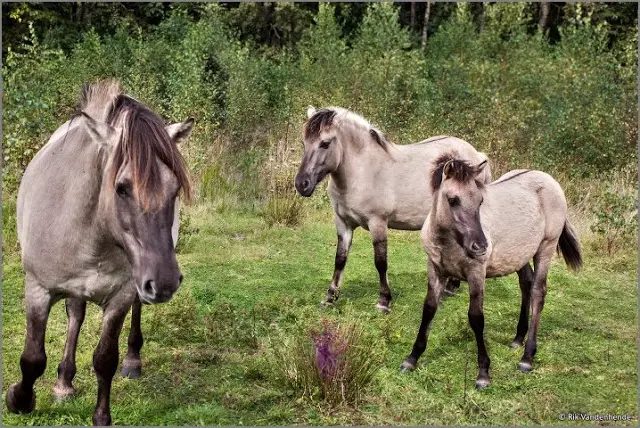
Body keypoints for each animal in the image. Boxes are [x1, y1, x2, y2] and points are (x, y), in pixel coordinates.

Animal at [6, 80, 192, 424]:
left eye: (175, 189)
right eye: (121, 187)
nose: (165, 282)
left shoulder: (121, 295)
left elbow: (105, 359)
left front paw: (102, 417)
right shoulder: (37, 289)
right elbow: (33, 357)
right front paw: (19, 399)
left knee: (135, 311)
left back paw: (132, 360)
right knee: (75, 315)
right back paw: (64, 381)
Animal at [296, 106, 490, 310]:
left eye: (325, 143)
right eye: (304, 142)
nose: (302, 184)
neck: (364, 172)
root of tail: (478, 156)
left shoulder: (378, 223)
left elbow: (381, 262)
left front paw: (384, 300)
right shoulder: (343, 223)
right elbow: (340, 259)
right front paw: (330, 297)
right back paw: (451, 287)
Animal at [402, 157, 584, 388]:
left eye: (480, 201)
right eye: (453, 200)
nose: (480, 246)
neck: (449, 242)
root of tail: (549, 180)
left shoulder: (476, 274)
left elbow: (476, 318)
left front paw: (483, 373)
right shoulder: (435, 270)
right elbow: (429, 309)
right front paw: (411, 359)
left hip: (546, 248)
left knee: (538, 292)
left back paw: (527, 357)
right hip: (519, 256)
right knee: (526, 284)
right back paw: (518, 338)